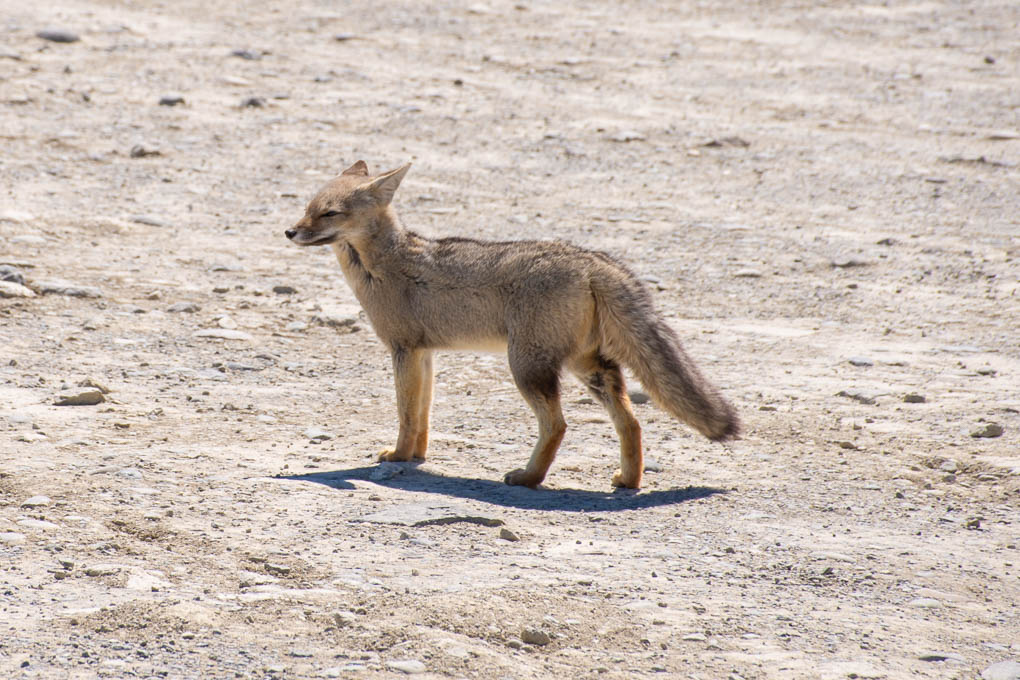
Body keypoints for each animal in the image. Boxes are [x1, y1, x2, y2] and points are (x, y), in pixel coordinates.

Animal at [285, 161, 739, 489]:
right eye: (307, 209)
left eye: (328, 214)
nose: (289, 231)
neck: (386, 265)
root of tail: (590, 259)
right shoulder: (424, 353)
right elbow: (424, 413)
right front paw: (415, 457)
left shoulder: (403, 350)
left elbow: (407, 415)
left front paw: (398, 456)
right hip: (587, 367)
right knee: (630, 422)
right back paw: (628, 481)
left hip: (526, 367)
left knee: (558, 424)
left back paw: (528, 478)